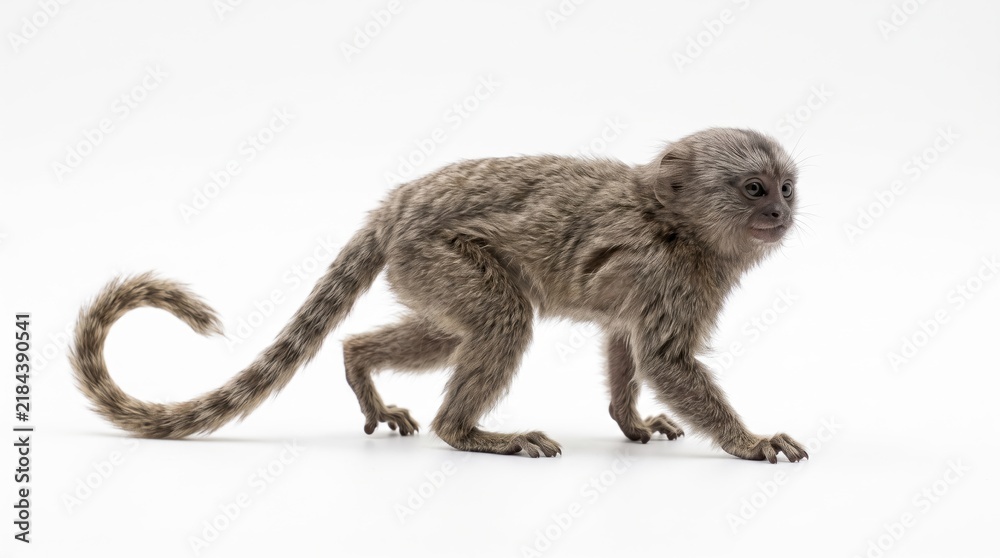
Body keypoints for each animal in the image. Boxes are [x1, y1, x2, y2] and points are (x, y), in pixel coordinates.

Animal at [71, 127, 809, 463]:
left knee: (451, 332)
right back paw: (472, 434)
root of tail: (397, 206)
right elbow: (664, 359)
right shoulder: (670, 272)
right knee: (504, 321)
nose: (781, 211)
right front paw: (748, 441)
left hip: (417, 267)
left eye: (785, 187)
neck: (677, 222)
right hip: (434, 253)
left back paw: (359, 363)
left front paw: (630, 422)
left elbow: (626, 344)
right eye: (753, 189)